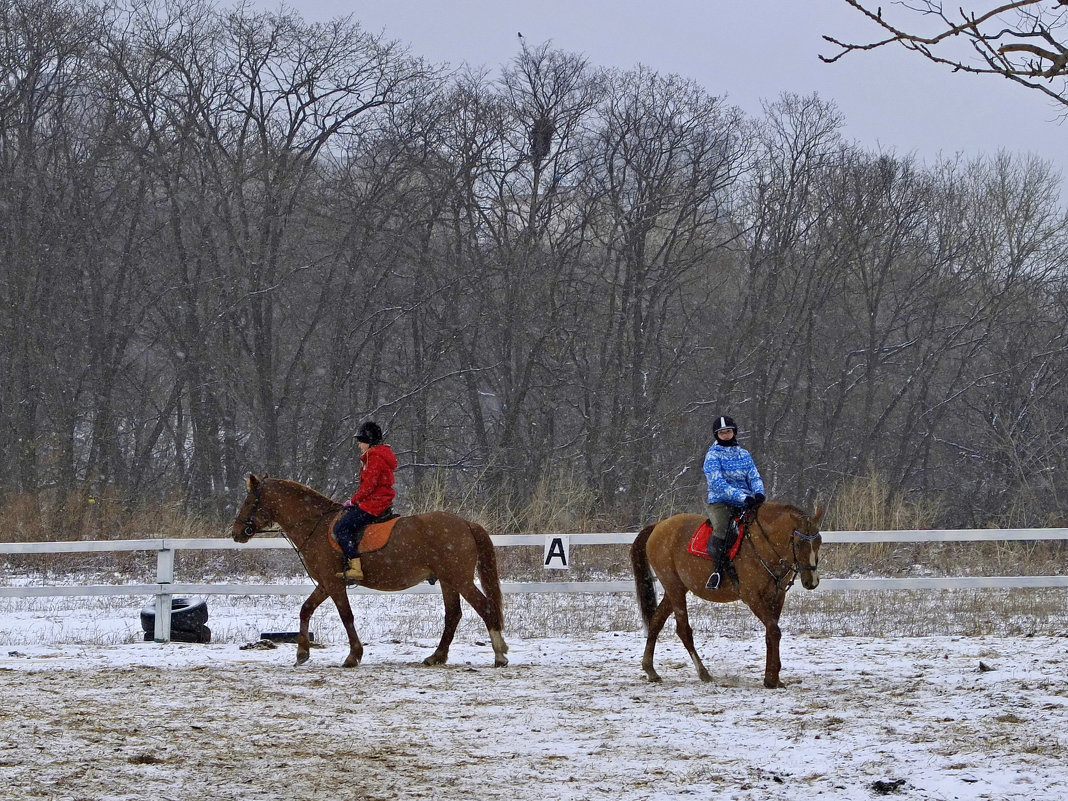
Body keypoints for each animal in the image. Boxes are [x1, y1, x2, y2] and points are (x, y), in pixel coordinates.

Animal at [228, 476, 508, 670]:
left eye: (249, 502)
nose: (236, 533)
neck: (316, 524)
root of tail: (466, 523)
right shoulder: (325, 583)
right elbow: (305, 609)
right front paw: (302, 654)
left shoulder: (333, 584)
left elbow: (346, 616)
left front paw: (353, 656)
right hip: (448, 580)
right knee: (453, 615)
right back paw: (436, 656)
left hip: (459, 578)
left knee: (484, 607)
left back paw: (499, 654)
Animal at [627, 504, 820, 687]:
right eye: (799, 543)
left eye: (818, 542)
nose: (812, 581)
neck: (763, 546)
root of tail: (658, 525)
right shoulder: (752, 598)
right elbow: (774, 630)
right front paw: (772, 679)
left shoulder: (777, 597)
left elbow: (770, 633)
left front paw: (772, 677)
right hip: (674, 588)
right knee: (683, 630)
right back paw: (703, 672)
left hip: (675, 590)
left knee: (656, 621)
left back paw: (650, 670)